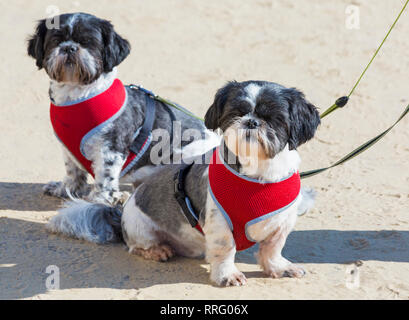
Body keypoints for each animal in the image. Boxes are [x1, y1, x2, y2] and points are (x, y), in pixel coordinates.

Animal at [27, 13, 209, 205]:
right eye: (56, 40)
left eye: (88, 42)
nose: (69, 48)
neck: (77, 96)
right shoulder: (69, 150)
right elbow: (73, 171)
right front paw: (66, 189)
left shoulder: (110, 148)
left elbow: (105, 177)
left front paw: (99, 200)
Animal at [47, 81, 320, 286]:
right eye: (236, 113)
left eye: (273, 118)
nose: (251, 121)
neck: (258, 174)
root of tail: (120, 212)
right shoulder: (220, 223)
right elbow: (225, 249)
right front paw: (227, 275)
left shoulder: (281, 222)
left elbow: (272, 249)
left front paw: (279, 268)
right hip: (140, 227)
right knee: (135, 246)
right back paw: (157, 250)